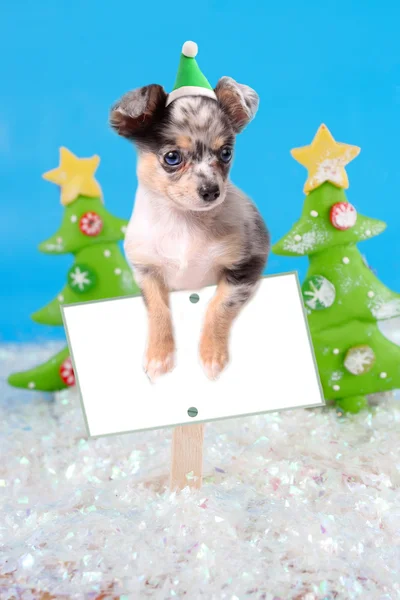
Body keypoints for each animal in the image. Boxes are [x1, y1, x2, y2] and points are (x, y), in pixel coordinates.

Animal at [110, 77, 268, 382]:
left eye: (226, 153)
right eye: (172, 158)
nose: (211, 191)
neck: (185, 222)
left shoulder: (246, 265)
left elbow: (219, 305)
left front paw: (212, 355)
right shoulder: (147, 271)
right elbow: (158, 309)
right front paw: (159, 356)